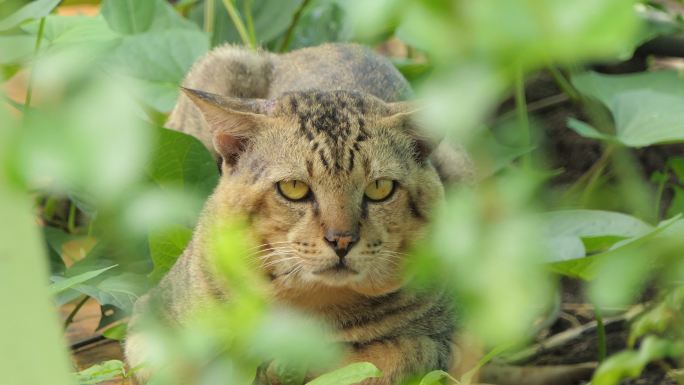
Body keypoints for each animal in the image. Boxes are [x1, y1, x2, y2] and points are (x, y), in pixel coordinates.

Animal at [125, 42, 472, 384]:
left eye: (380, 188)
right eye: (293, 188)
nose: (342, 240)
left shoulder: (449, 343)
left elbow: (386, 360)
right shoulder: (150, 317)